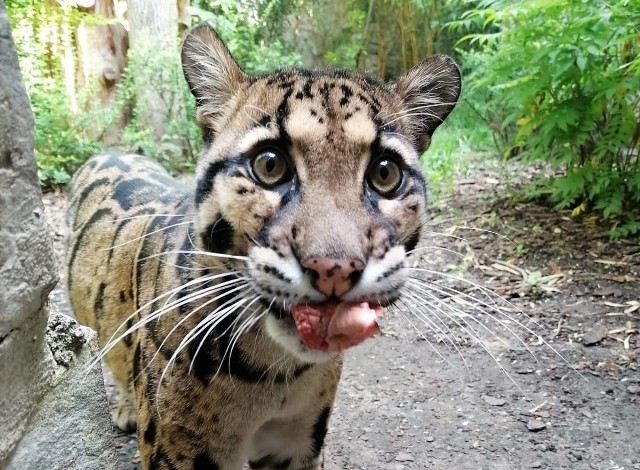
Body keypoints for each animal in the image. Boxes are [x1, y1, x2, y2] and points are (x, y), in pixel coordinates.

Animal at [66, 24, 460, 470]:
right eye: (269, 165)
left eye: (385, 173)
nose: (334, 268)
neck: (275, 374)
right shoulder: (179, 452)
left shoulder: (299, 443)